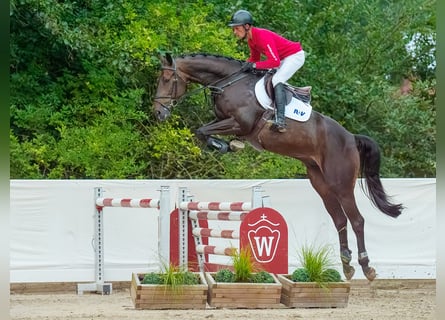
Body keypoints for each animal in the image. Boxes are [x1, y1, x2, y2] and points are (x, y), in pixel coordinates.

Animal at [153, 52, 402, 280]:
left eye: (166, 79)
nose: (158, 113)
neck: (228, 83)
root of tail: (351, 137)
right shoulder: (224, 121)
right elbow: (202, 130)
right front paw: (226, 145)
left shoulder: (240, 123)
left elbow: (203, 130)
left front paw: (225, 145)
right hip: (321, 184)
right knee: (340, 220)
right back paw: (347, 265)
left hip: (341, 184)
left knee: (357, 220)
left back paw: (366, 267)